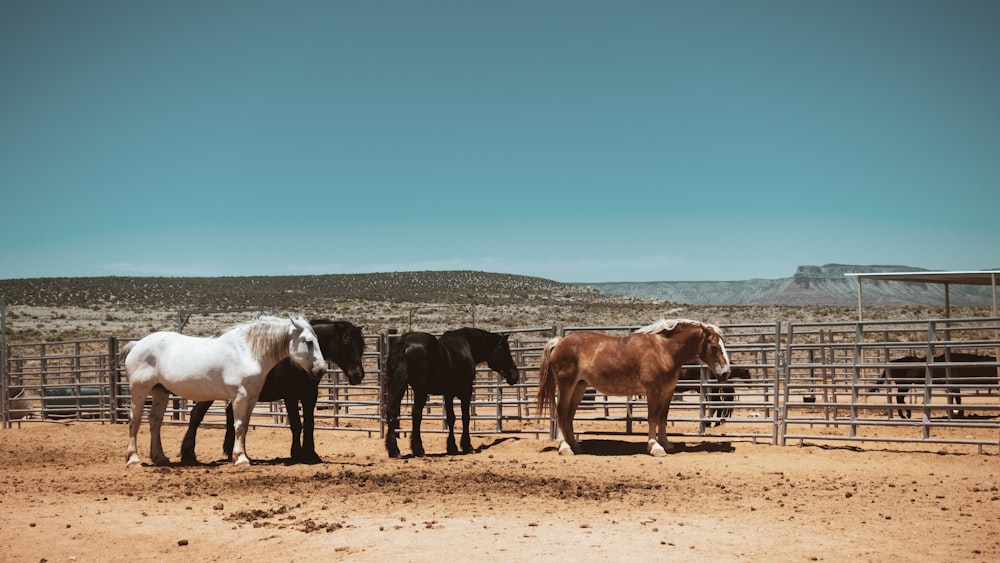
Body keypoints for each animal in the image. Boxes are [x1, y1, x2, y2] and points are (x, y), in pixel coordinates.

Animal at [120, 316, 324, 470]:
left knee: (155, 421)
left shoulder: (252, 398)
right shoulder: (240, 396)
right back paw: (133, 459)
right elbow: (239, 426)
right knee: (135, 420)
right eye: (308, 342)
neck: (247, 352)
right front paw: (240, 459)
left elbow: (244, 426)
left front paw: (242, 455)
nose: (321, 370)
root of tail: (136, 345)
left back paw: (160, 458)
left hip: (160, 392)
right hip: (139, 391)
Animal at [180, 320, 368, 464]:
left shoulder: (309, 395)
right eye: (345, 341)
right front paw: (297, 454)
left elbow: (310, 424)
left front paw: (311, 454)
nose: (358, 375)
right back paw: (188, 455)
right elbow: (296, 424)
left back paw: (230, 452)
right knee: (196, 415)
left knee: (229, 415)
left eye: (361, 345)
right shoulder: (291, 396)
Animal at [384, 330, 524, 458]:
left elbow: (451, 418)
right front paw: (467, 446)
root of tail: (404, 343)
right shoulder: (466, 392)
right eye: (506, 351)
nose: (515, 375)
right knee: (416, 415)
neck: (466, 346)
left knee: (393, 413)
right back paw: (418, 450)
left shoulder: (448, 394)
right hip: (420, 391)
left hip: (398, 387)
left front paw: (452, 447)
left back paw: (394, 450)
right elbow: (465, 417)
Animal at [536, 320, 732, 456]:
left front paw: (666, 444)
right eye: (713, 346)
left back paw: (576, 446)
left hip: (579, 386)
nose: (726, 373)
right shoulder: (653, 391)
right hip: (566, 385)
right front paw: (655, 447)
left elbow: (663, 418)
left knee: (569, 415)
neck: (663, 350)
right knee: (562, 413)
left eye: (724, 344)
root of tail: (559, 342)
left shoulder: (668, 391)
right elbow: (652, 418)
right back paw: (565, 447)